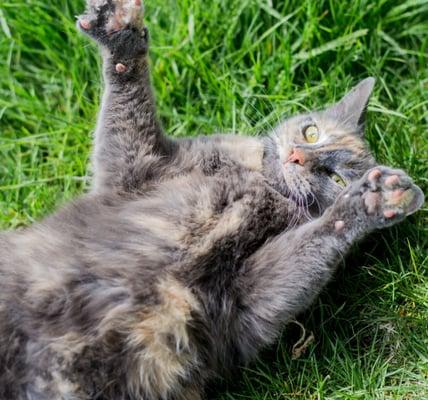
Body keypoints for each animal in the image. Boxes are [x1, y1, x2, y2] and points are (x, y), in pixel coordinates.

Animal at [0, 0, 422, 400]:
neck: (259, 181)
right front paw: (121, 33)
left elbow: (309, 246)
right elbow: (128, 105)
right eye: (312, 132)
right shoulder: (135, 169)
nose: (297, 157)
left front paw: (370, 200)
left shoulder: (243, 305)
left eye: (334, 177)